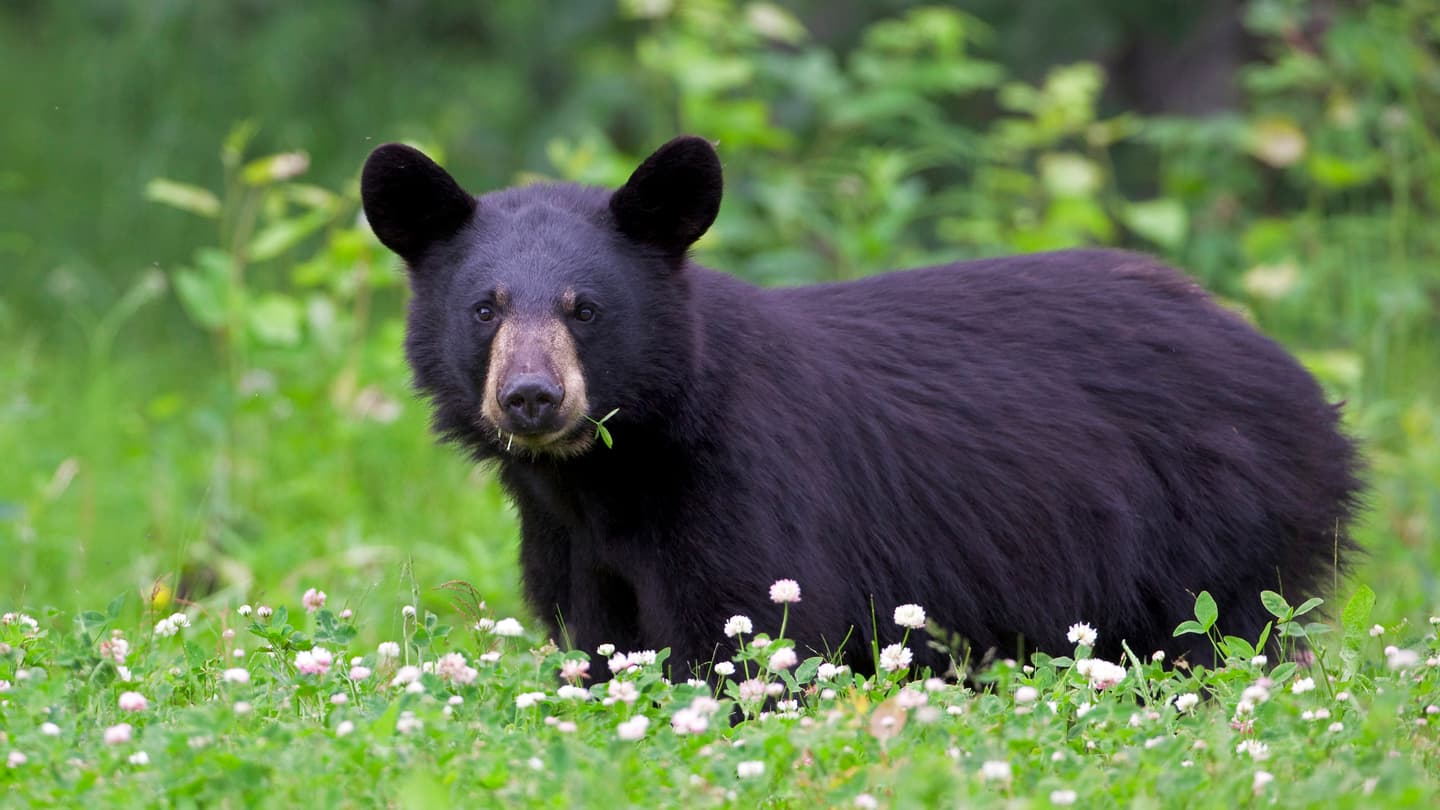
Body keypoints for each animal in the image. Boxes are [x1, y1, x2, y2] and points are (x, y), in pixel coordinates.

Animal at [360, 135, 1362, 678]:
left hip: (1215, 529)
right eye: (485, 307)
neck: (614, 471)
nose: (531, 397)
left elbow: (757, 633)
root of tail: (1302, 384)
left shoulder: (746, 487)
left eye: (585, 308)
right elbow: (605, 643)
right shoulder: (572, 546)